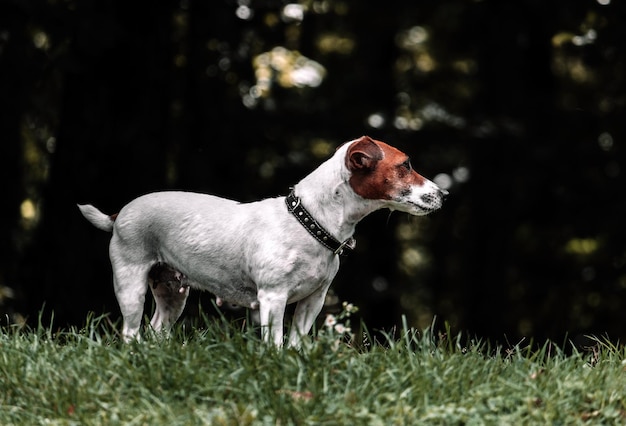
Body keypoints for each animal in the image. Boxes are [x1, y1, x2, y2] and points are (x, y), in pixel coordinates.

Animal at [78, 136, 446, 346]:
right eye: (406, 165)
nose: (445, 193)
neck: (308, 222)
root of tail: (119, 214)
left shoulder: (313, 300)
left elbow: (295, 341)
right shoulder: (273, 298)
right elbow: (275, 342)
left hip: (172, 292)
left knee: (156, 329)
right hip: (130, 283)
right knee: (130, 331)